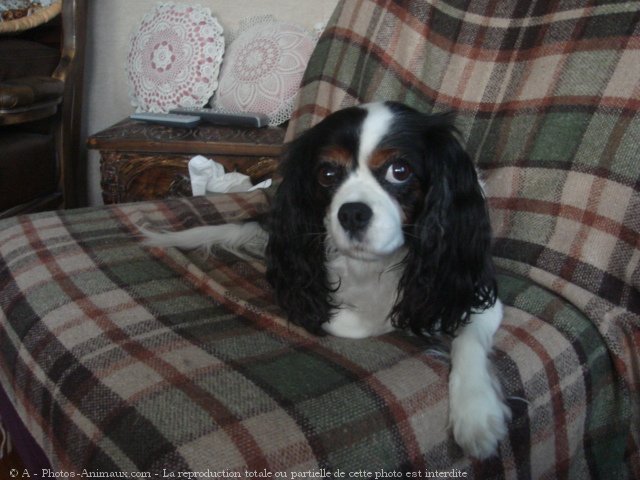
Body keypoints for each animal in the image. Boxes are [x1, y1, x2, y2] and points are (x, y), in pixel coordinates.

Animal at [144, 103, 510, 460]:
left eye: (400, 171)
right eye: (328, 174)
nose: (352, 213)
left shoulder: (470, 291)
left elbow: (468, 341)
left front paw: (476, 413)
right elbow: (347, 320)